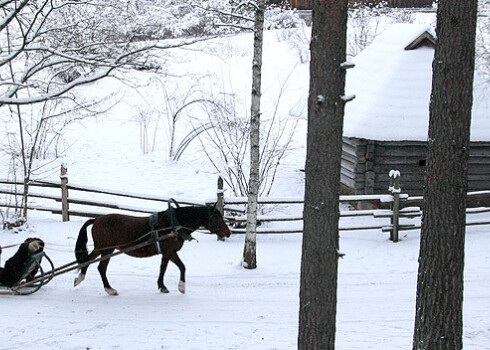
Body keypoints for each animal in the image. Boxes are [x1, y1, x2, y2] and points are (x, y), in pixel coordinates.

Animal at [73, 205, 231, 296]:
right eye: (217, 217)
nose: (228, 232)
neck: (172, 225)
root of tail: (96, 219)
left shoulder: (167, 253)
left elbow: (162, 269)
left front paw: (162, 286)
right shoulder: (170, 252)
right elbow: (182, 267)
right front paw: (181, 287)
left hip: (101, 248)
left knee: (88, 260)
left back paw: (79, 278)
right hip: (107, 249)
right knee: (101, 267)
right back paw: (109, 289)